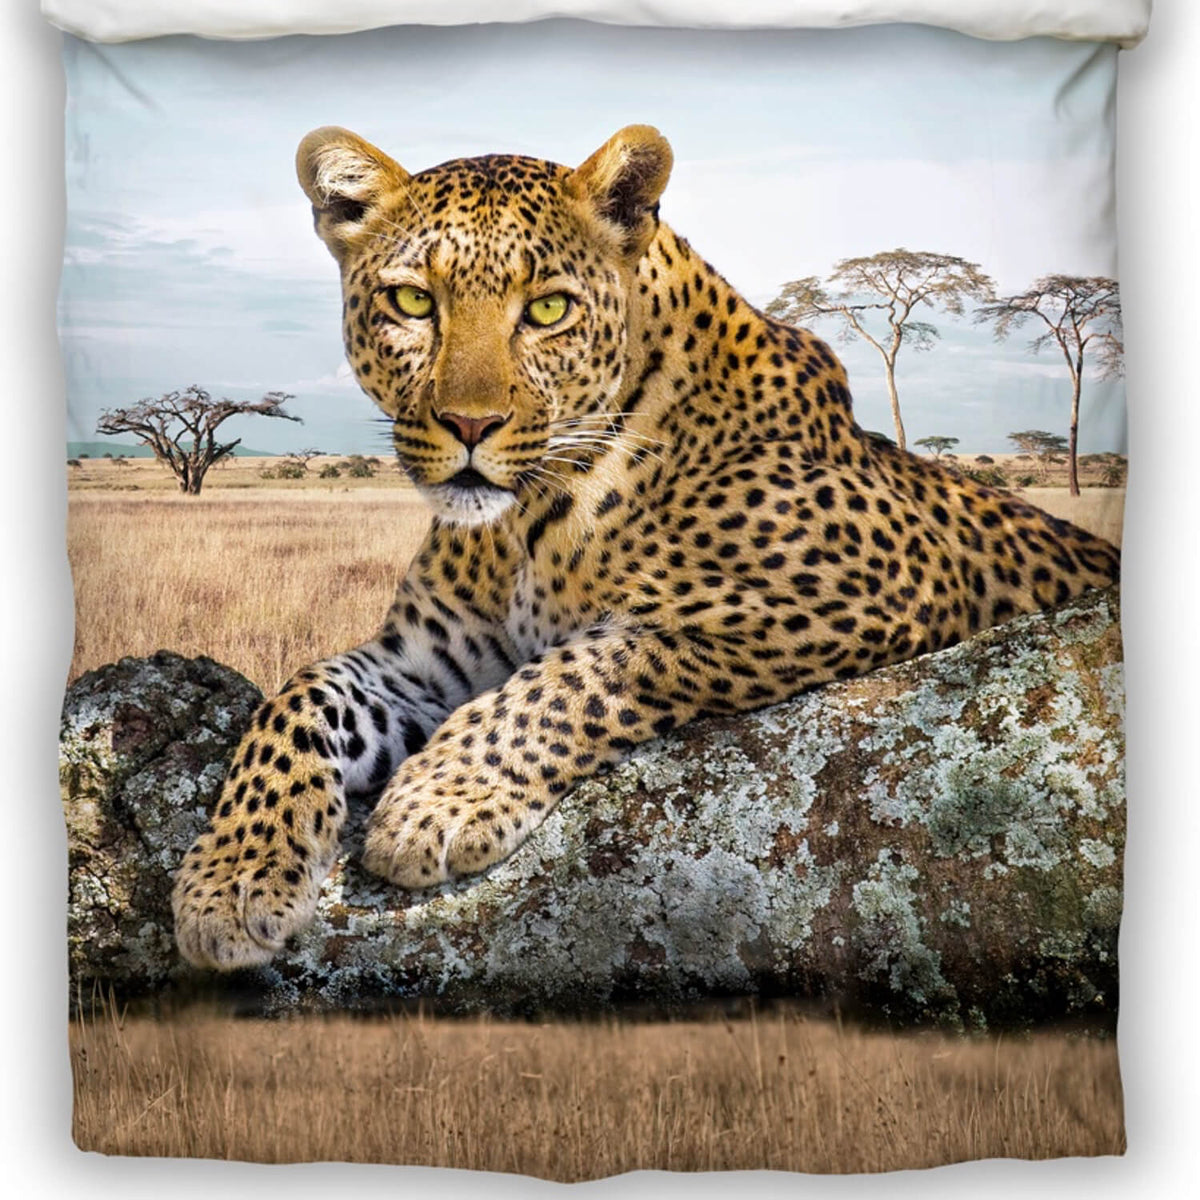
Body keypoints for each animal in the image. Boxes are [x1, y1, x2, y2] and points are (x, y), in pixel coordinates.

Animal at [172, 124, 1120, 969]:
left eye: (547, 308)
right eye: (412, 301)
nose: (470, 426)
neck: (523, 526)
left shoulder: (866, 590)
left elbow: (584, 668)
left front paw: (436, 803)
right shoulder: (426, 667)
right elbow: (295, 700)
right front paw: (233, 879)